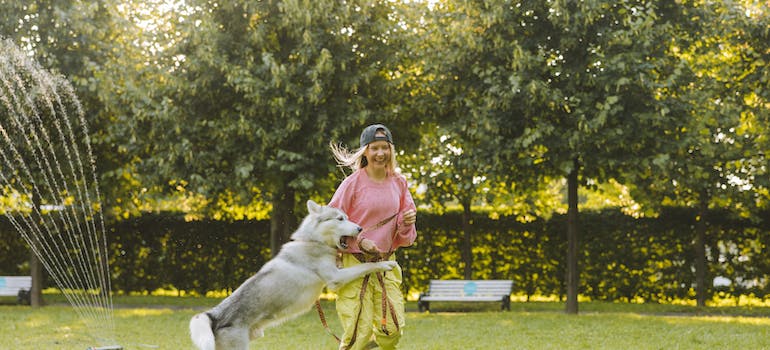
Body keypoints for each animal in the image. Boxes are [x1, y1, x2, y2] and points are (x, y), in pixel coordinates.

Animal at [188, 200, 396, 350]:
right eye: (339, 219)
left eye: (347, 217)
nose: (360, 228)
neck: (313, 241)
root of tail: (214, 314)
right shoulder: (336, 277)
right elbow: (366, 266)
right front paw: (384, 263)